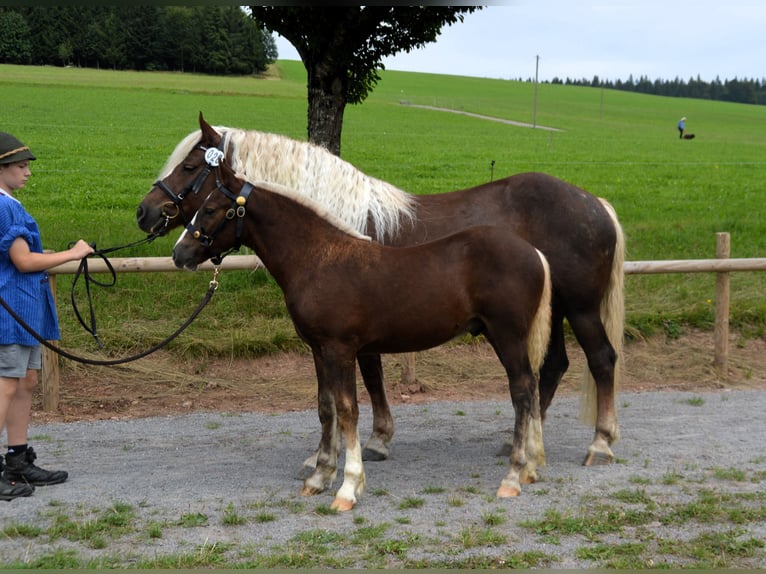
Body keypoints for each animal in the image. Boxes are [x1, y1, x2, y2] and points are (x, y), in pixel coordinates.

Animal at [138, 113, 628, 468]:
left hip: (580, 309)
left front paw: (372, 443)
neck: (337, 229)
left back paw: (600, 444)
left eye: (189, 167)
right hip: (553, 312)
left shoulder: (355, 335)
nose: (146, 212)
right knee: (554, 366)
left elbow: (367, 382)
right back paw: (521, 441)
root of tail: (595, 203)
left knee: (601, 360)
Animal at [170, 141, 552, 512]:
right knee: (531, 387)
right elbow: (326, 408)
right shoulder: (319, 350)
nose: (179, 254)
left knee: (521, 391)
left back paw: (513, 476)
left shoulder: (340, 349)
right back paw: (531, 468)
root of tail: (534, 253)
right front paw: (319, 477)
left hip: (507, 336)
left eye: (210, 209)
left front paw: (348, 487)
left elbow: (347, 410)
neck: (317, 258)